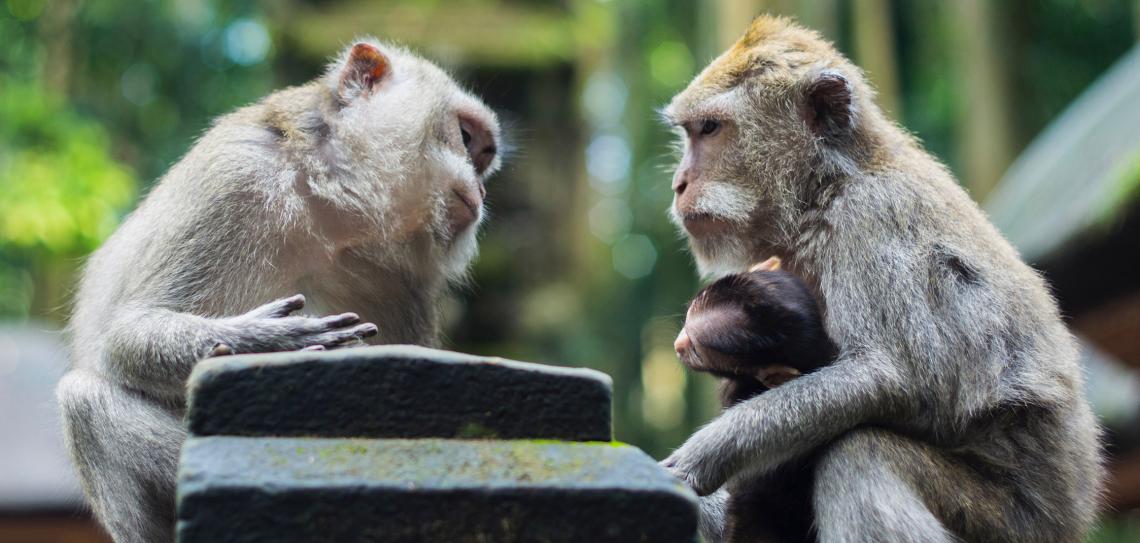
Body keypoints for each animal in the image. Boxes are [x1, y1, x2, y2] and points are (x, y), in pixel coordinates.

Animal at [53, 39, 499, 543]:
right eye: (464, 138)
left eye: (485, 157)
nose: (482, 189)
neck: (329, 206)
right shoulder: (235, 176)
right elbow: (125, 336)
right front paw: (269, 339)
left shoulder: (405, 280)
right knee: (84, 400)